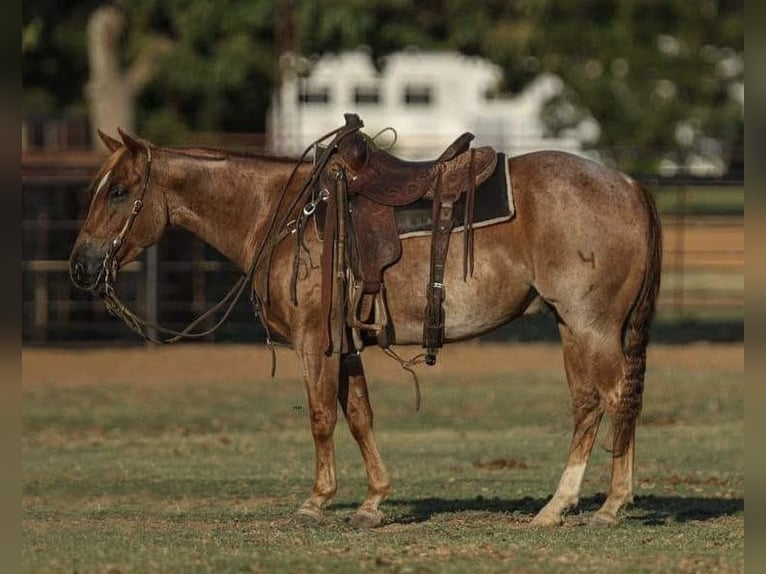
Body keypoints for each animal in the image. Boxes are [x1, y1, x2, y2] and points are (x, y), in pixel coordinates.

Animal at [69, 126, 664, 532]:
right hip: (573, 326)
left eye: (119, 191)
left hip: (591, 325)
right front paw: (374, 501)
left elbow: (320, 416)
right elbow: (358, 414)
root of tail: (629, 185)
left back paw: (604, 506)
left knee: (616, 397)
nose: (80, 266)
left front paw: (315, 501)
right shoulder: (347, 341)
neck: (284, 216)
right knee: (590, 403)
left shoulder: (313, 341)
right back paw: (566, 506)